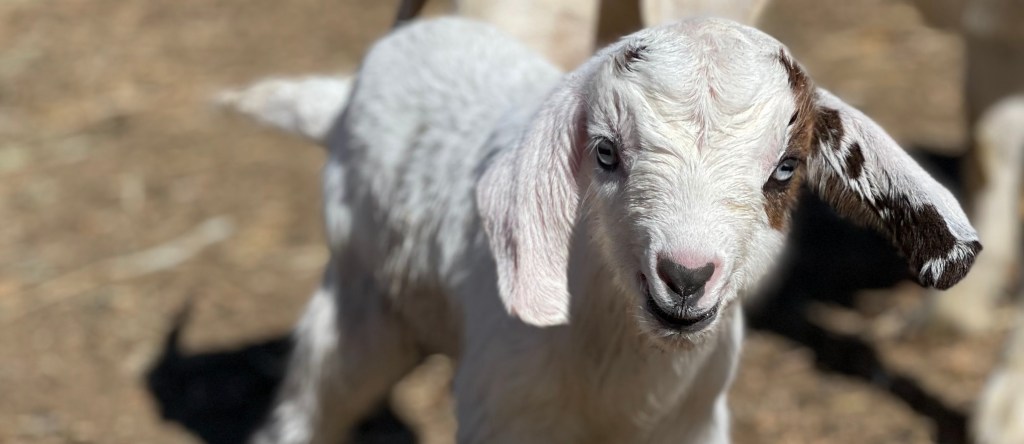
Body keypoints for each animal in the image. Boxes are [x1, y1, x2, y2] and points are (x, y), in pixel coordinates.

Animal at [240, 16, 980, 444]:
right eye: (604, 152)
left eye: (785, 168)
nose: (685, 276)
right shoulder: (510, 415)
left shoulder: (692, 422)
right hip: (359, 305)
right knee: (310, 405)